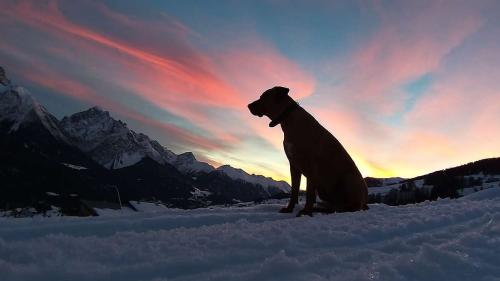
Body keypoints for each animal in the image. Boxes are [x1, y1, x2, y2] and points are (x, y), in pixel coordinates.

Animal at [249, 86, 370, 215]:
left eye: (263, 96)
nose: (248, 105)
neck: (289, 119)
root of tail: (365, 200)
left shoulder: (311, 166)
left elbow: (309, 192)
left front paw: (306, 212)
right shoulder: (294, 165)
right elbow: (294, 190)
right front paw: (289, 209)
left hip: (349, 180)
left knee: (350, 207)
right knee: (335, 206)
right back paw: (321, 209)